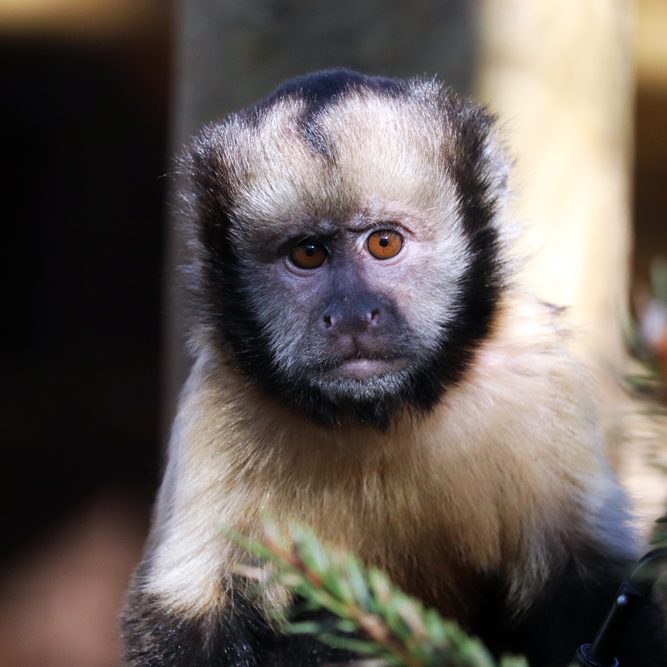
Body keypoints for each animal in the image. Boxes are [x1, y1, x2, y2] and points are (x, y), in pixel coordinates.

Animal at [121, 70, 667, 664]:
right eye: (307, 253)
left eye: (384, 242)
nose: (353, 314)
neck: (384, 413)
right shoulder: (219, 401)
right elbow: (187, 625)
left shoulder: (538, 374)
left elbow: (590, 587)